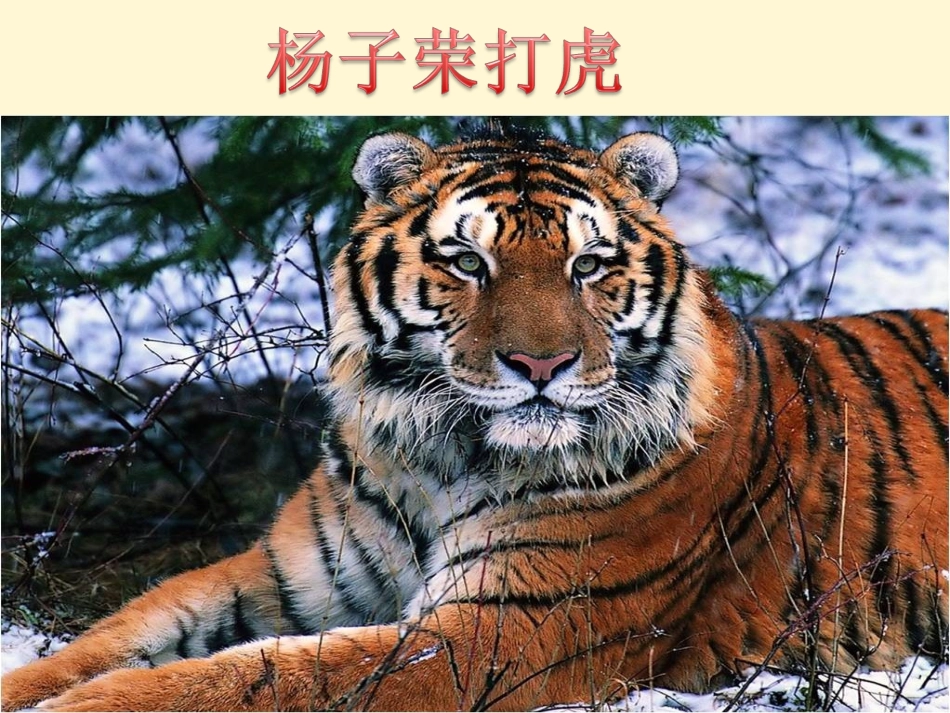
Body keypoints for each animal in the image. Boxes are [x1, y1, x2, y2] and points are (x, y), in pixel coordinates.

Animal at [2, 127, 947, 712]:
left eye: (588, 265)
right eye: (466, 260)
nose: (541, 367)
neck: (437, 455)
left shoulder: (501, 629)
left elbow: (266, 678)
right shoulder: (280, 576)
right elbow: (120, 633)